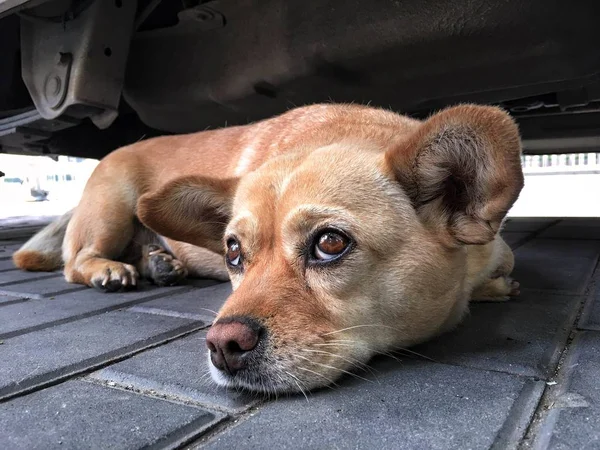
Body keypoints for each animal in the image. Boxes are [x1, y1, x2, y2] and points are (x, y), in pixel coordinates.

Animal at [11, 103, 524, 394]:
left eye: (330, 243)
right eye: (233, 251)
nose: (222, 345)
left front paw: (494, 287)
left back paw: (160, 262)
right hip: (112, 206)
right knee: (73, 262)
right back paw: (112, 269)